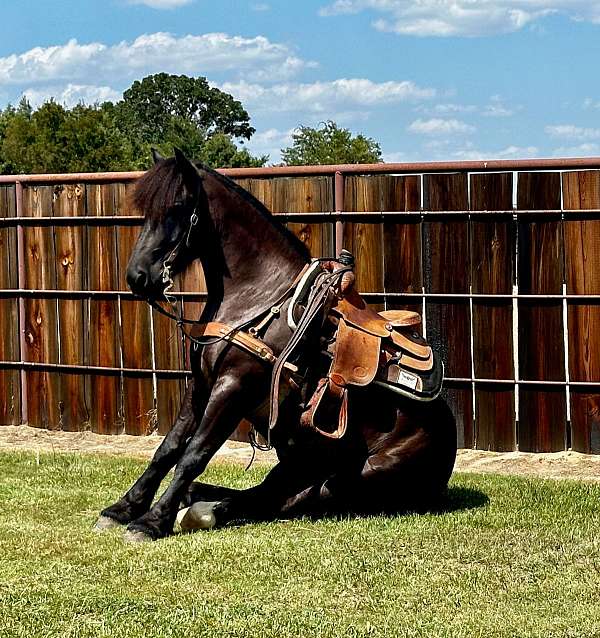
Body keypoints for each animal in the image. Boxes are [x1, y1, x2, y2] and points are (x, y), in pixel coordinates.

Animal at [96, 151, 458, 544]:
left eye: (177, 207)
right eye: (147, 211)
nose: (138, 276)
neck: (258, 295)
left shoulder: (234, 387)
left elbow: (195, 453)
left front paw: (151, 521)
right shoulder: (202, 384)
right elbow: (169, 448)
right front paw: (123, 508)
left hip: (353, 477)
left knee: (287, 500)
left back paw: (203, 510)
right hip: (297, 463)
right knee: (267, 492)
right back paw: (199, 502)